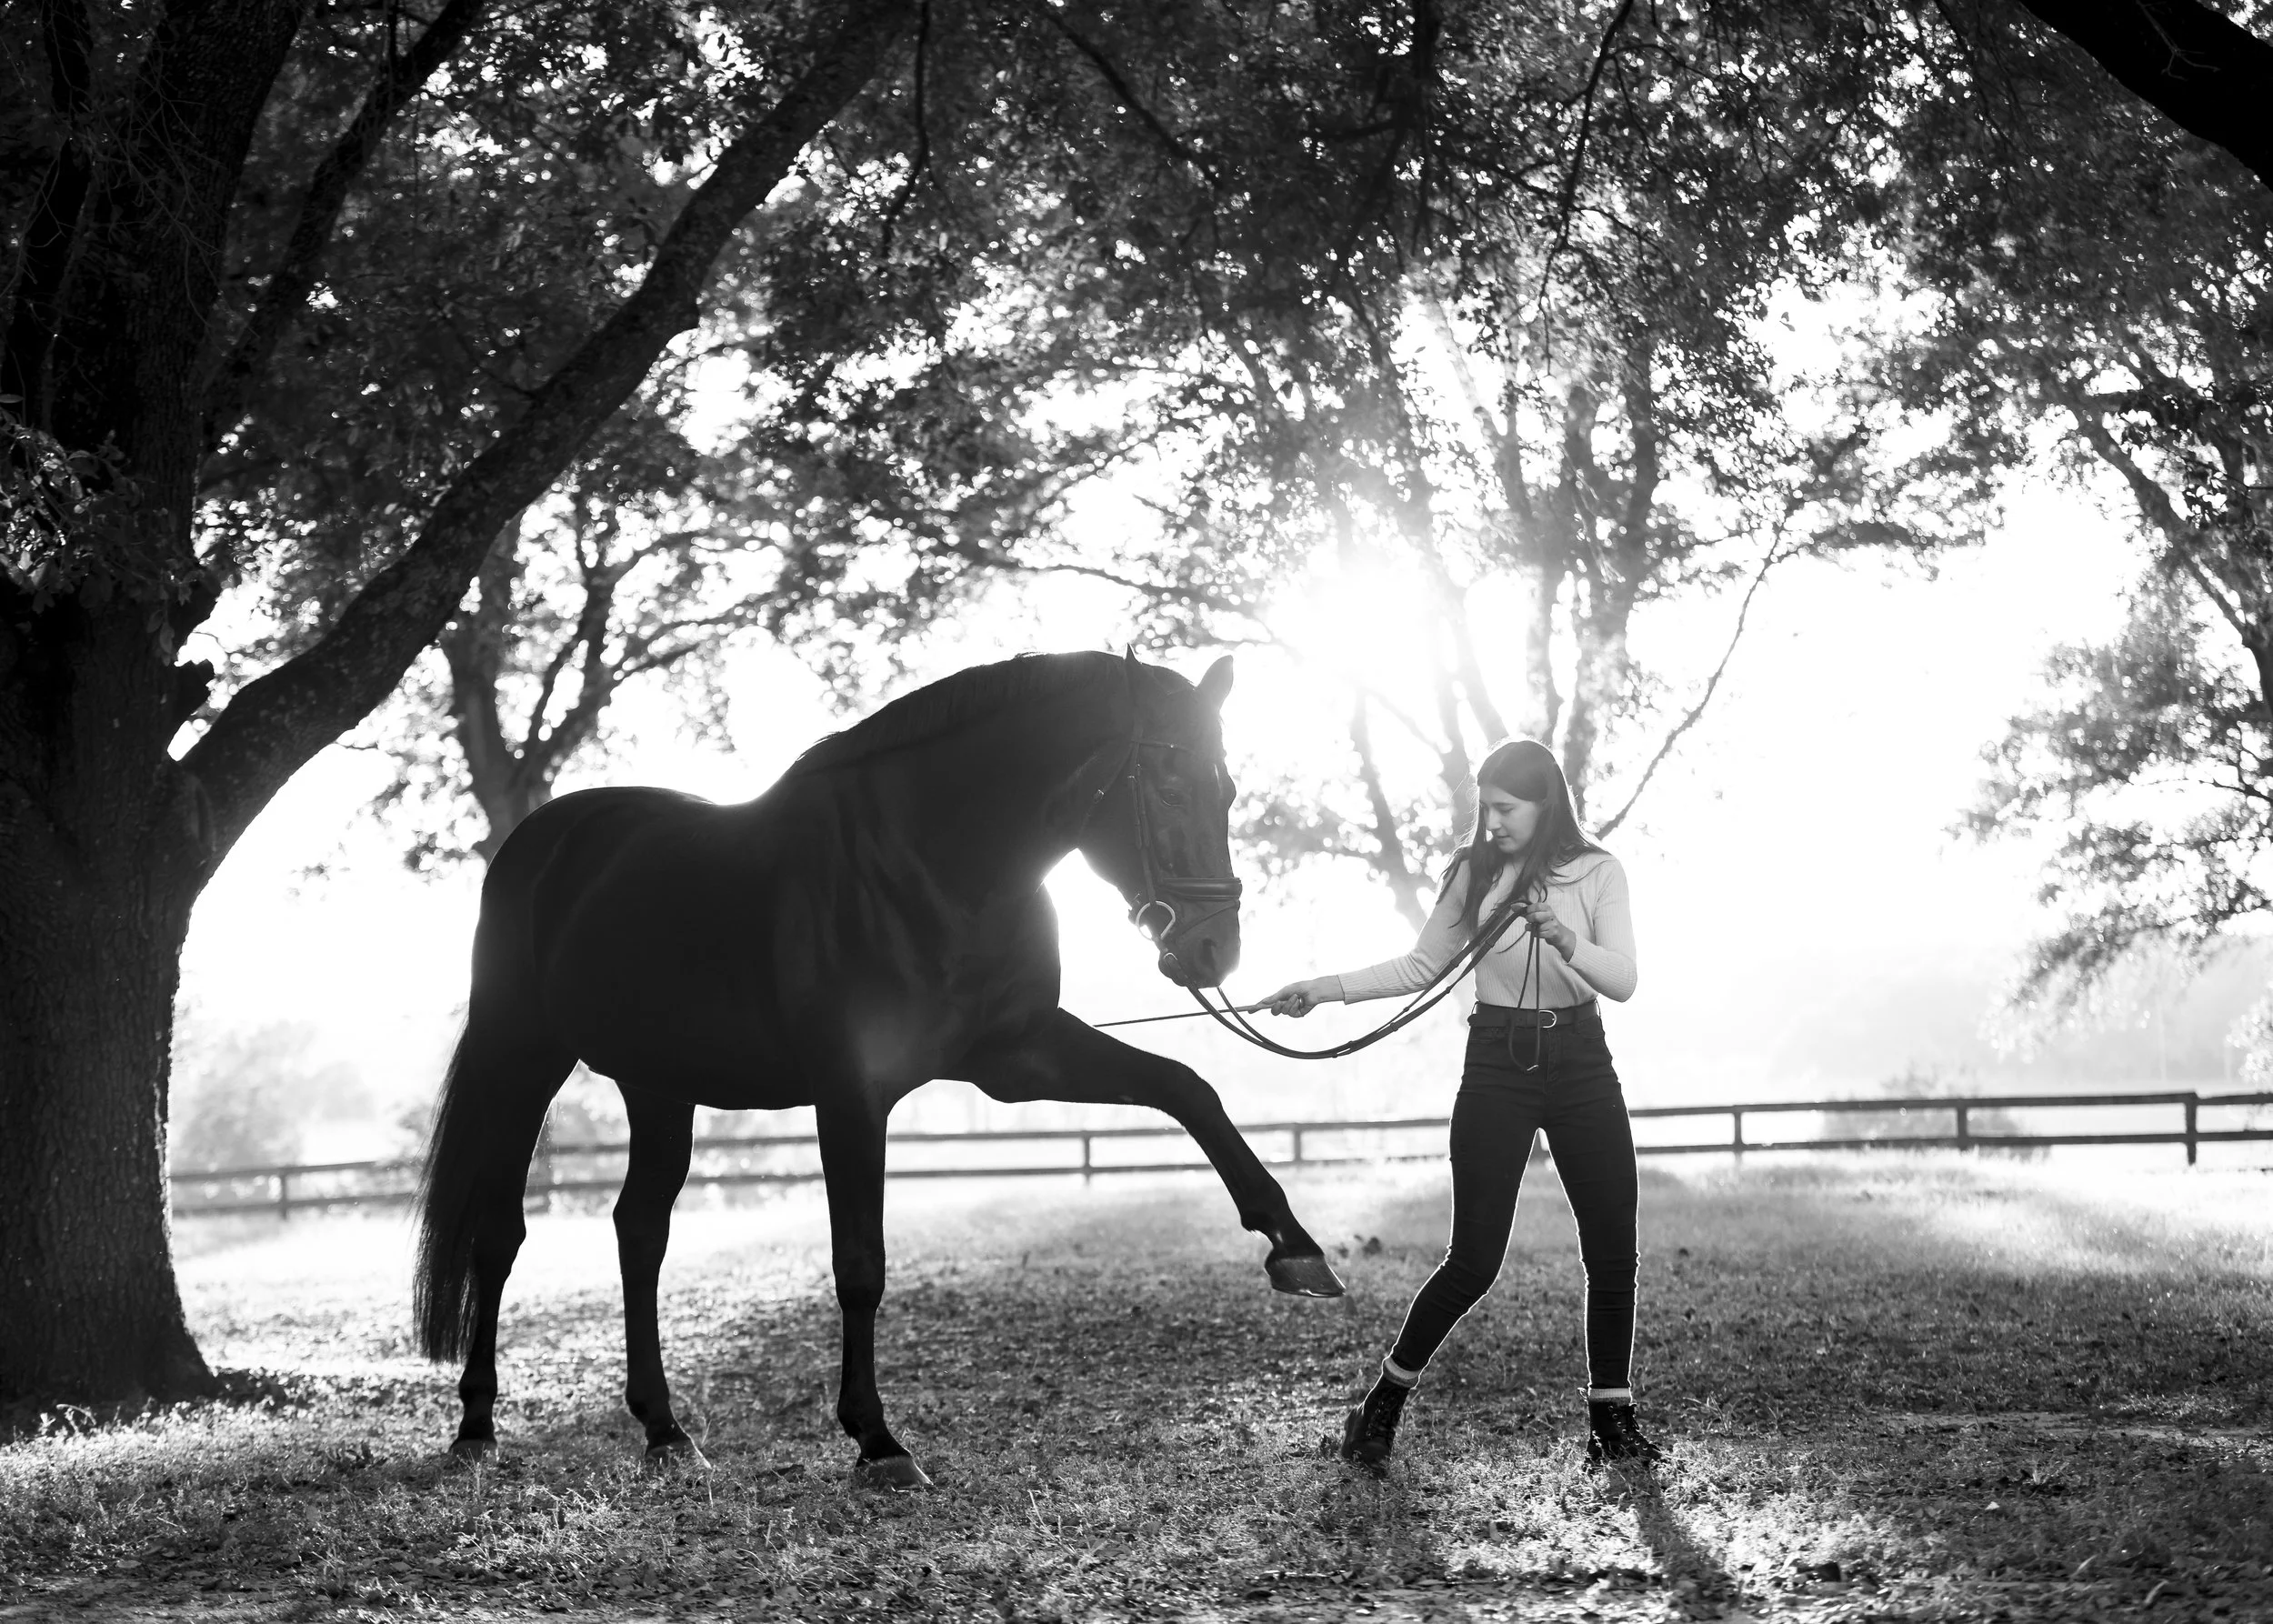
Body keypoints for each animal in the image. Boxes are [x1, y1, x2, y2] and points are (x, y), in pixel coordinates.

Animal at [412, 649, 1345, 1487]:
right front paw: (877, 1441)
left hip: (658, 1085)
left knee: (640, 1231)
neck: (931, 863)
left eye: (1229, 790)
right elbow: (861, 1265)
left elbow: (1185, 1088)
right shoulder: (853, 1093)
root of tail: (544, 841)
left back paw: (666, 1433)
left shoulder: (1017, 1054)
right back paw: (476, 1428)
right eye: (1171, 782)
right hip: (523, 1059)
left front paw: (1294, 1248)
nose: (1213, 952)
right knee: (499, 1237)